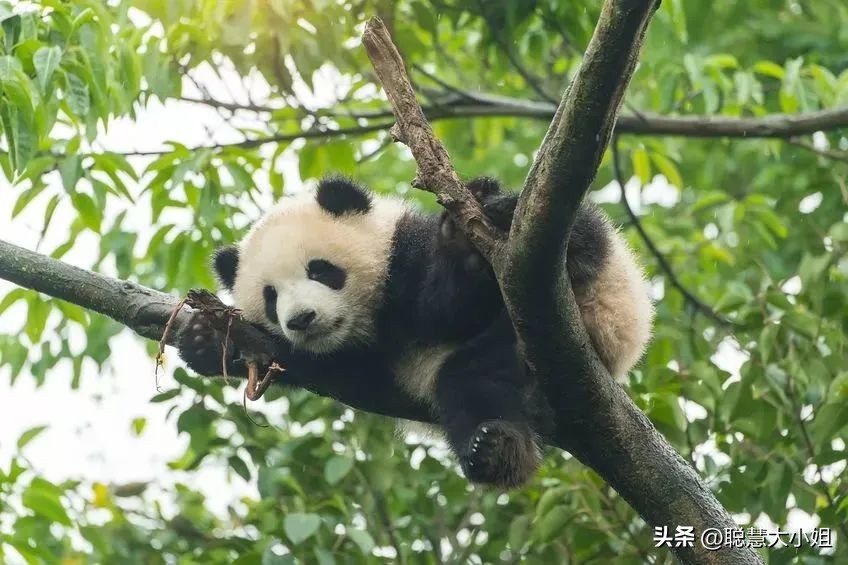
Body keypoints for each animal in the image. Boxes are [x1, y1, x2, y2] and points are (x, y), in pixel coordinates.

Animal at [179, 177, 652, 490]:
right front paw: (208, 340)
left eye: (320, 270)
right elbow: (321, 368)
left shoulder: (408, 253)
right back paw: (500, 452)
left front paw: (460, 238)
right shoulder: (356, 358)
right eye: (271, 297)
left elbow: (450, 306)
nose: (302, 319)